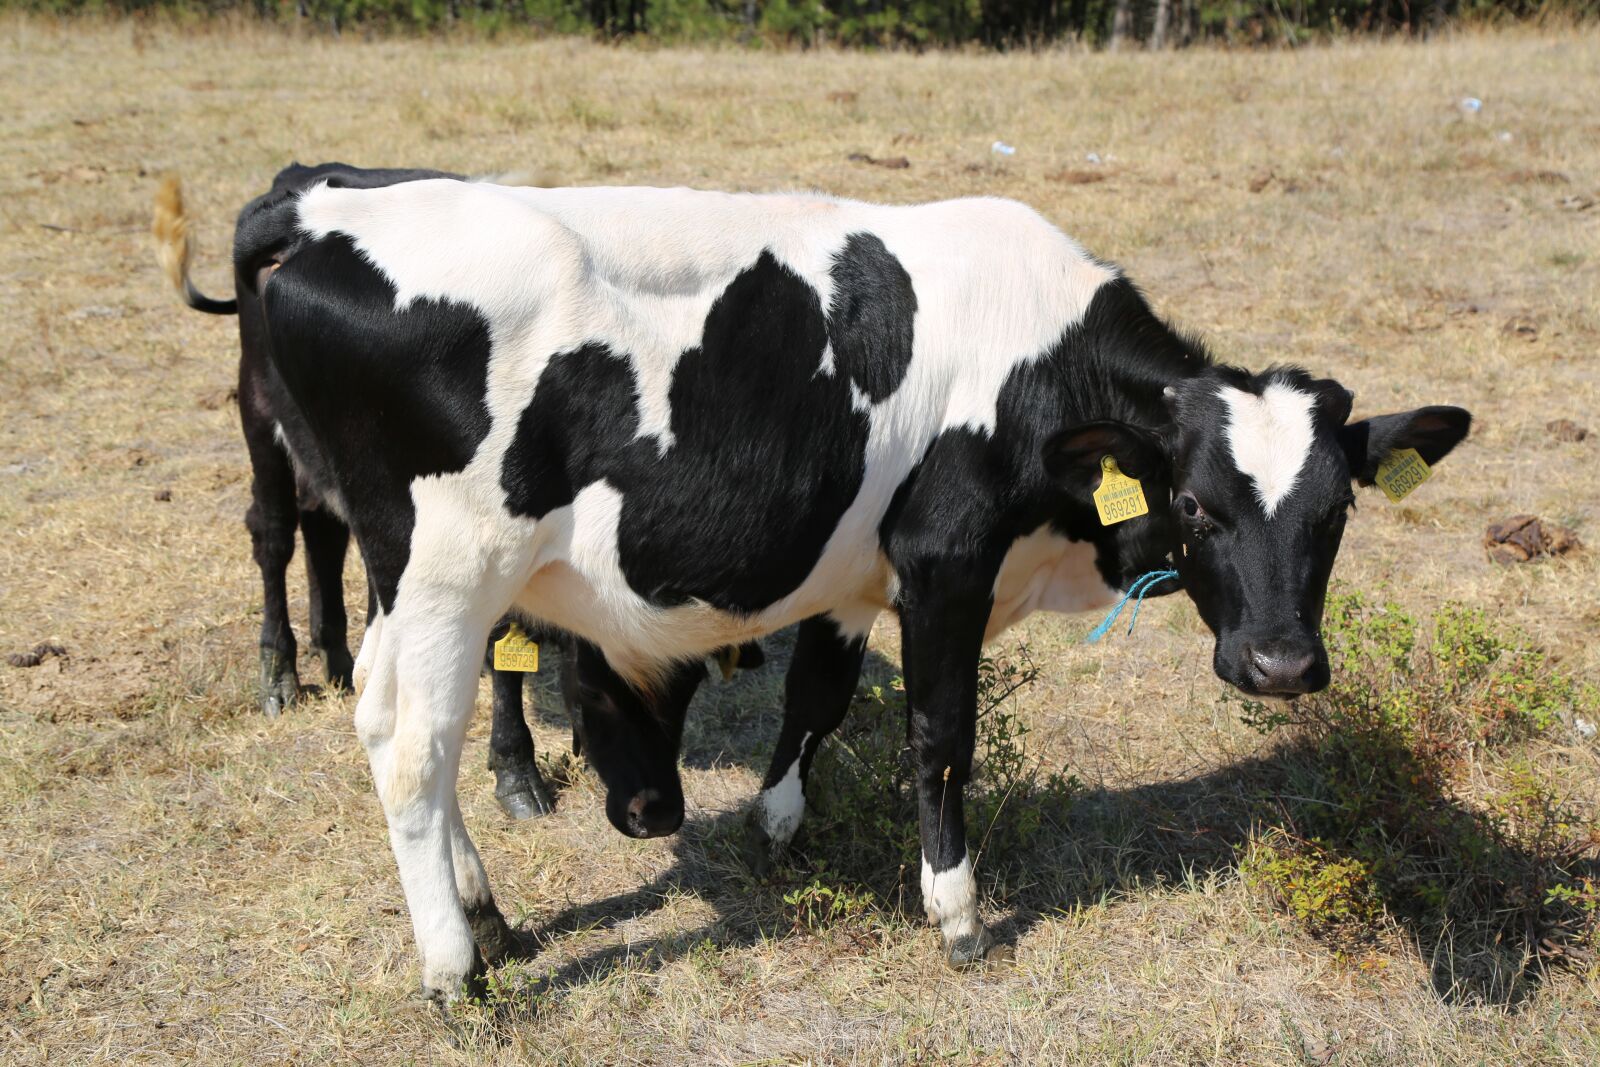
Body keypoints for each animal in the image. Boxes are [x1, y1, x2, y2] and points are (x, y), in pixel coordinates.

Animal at [177, 163, 1469, 1002]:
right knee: (411, 738)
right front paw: (954, 910)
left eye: (1338, 511)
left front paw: (778, 820)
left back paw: (485, 913)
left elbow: (817, 698)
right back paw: (454, 964)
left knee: (396, 719)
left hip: (413, 568)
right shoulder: (946, 561)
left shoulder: (857, 574)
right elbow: (938, 732)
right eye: (1198, 504)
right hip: (449, 560)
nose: (1280, 661)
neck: (1041, 366)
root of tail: (326, 208)